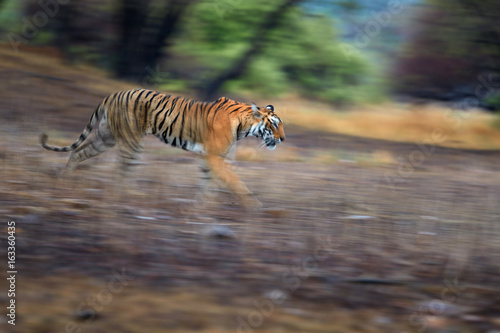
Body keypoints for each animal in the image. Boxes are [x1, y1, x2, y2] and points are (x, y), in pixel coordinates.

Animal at [39, 88, 286, 208]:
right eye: (274, 125)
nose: (283, 139)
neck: (245, 127)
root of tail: (113, 93)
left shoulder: (211, 158)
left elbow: (207, 184)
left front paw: (201, 207)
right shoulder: (216, 157)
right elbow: (236, 182)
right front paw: (254, 205)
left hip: (105, 137)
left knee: (79, 152)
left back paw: (65, 178)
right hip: (132, 142)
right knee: (122, 173)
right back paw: (130, 196)